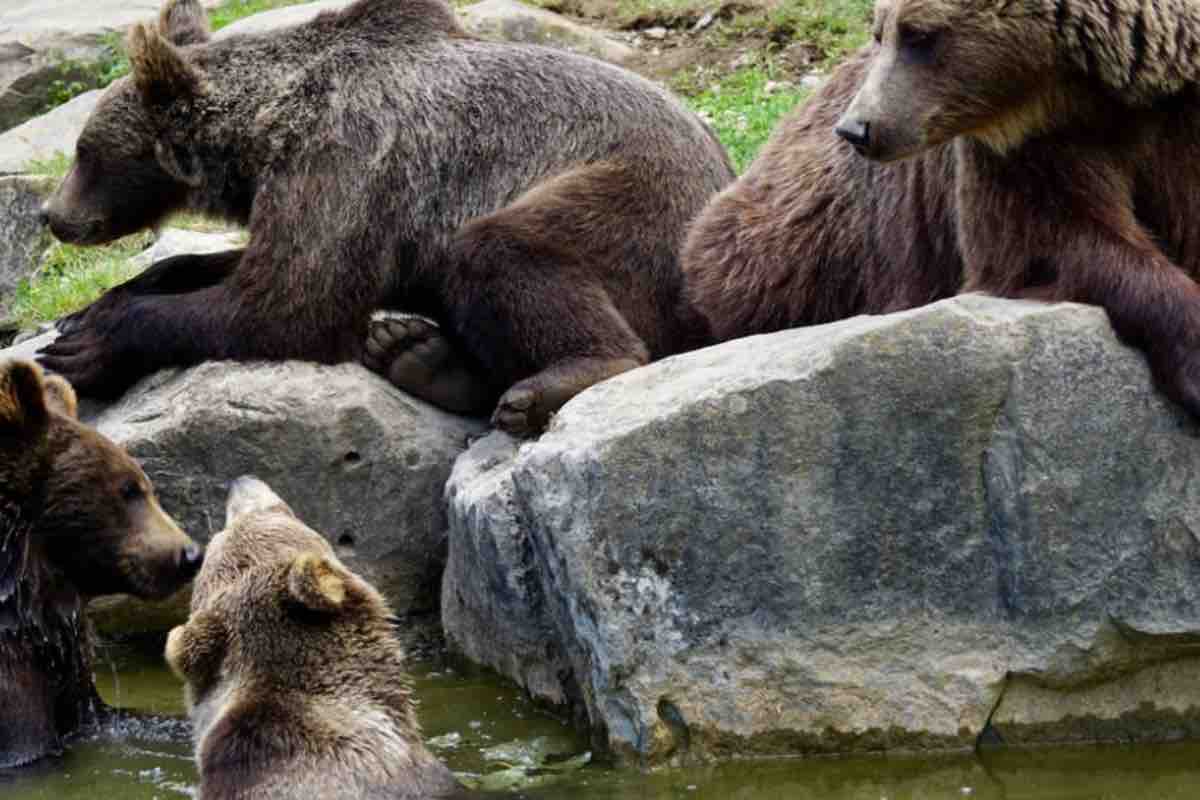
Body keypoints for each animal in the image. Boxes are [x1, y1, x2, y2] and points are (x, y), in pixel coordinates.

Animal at [38, 0, 735, 437]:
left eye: (84, 151)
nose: (51, 214)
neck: (262, 135)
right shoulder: (324, 197)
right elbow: (246, 264)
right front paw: (96, 304)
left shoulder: (347, 154)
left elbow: (287, 304)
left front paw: (88, 344)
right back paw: (416, 354)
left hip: (635, 203)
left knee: (503, 249)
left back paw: (552, 380)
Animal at [683, 0, 1200, 420]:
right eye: (881, 32)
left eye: (918, 35)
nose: (856, 128)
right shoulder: (1033, 149)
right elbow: (1048, 238)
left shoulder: (1174, 124)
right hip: (807, 247)